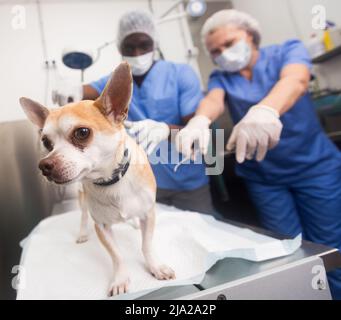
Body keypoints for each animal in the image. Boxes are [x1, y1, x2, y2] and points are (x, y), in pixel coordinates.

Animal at [20, 62, 175, 296]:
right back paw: (83, 233)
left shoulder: (149, 214)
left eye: (82, 133)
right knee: (84, 216)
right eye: (46, 142)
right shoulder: (101, 226)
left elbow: (146, 245)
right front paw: (120, 279)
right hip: (82, 199)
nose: (44, 165)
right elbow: (117, 255)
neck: (112, 180)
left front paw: (155, 267)